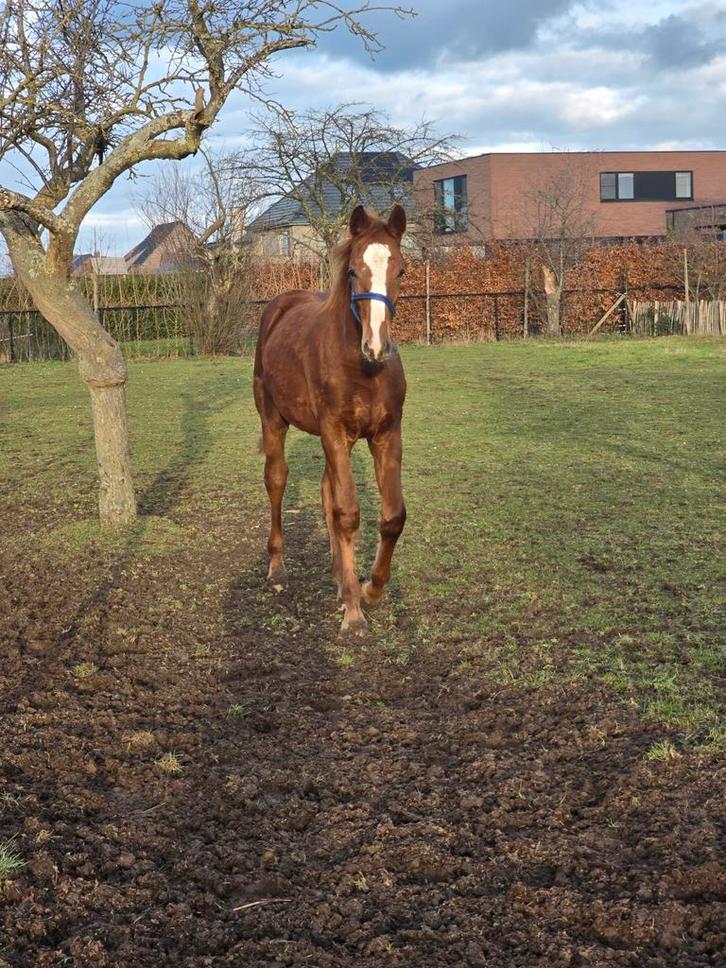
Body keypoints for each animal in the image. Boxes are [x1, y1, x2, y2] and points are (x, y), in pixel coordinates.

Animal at [253, 204, 408, 635]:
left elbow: (392, 516)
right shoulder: (334, 432)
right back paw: (277, 568)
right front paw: (354, 611)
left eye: (401, 270)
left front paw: (370, 588)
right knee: (277, 481)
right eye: (353, 270)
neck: (364, 370)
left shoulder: (386, 434)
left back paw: (341, 576)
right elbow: (349, 514)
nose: (376, 346)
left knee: (327, 494)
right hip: (274, 421)